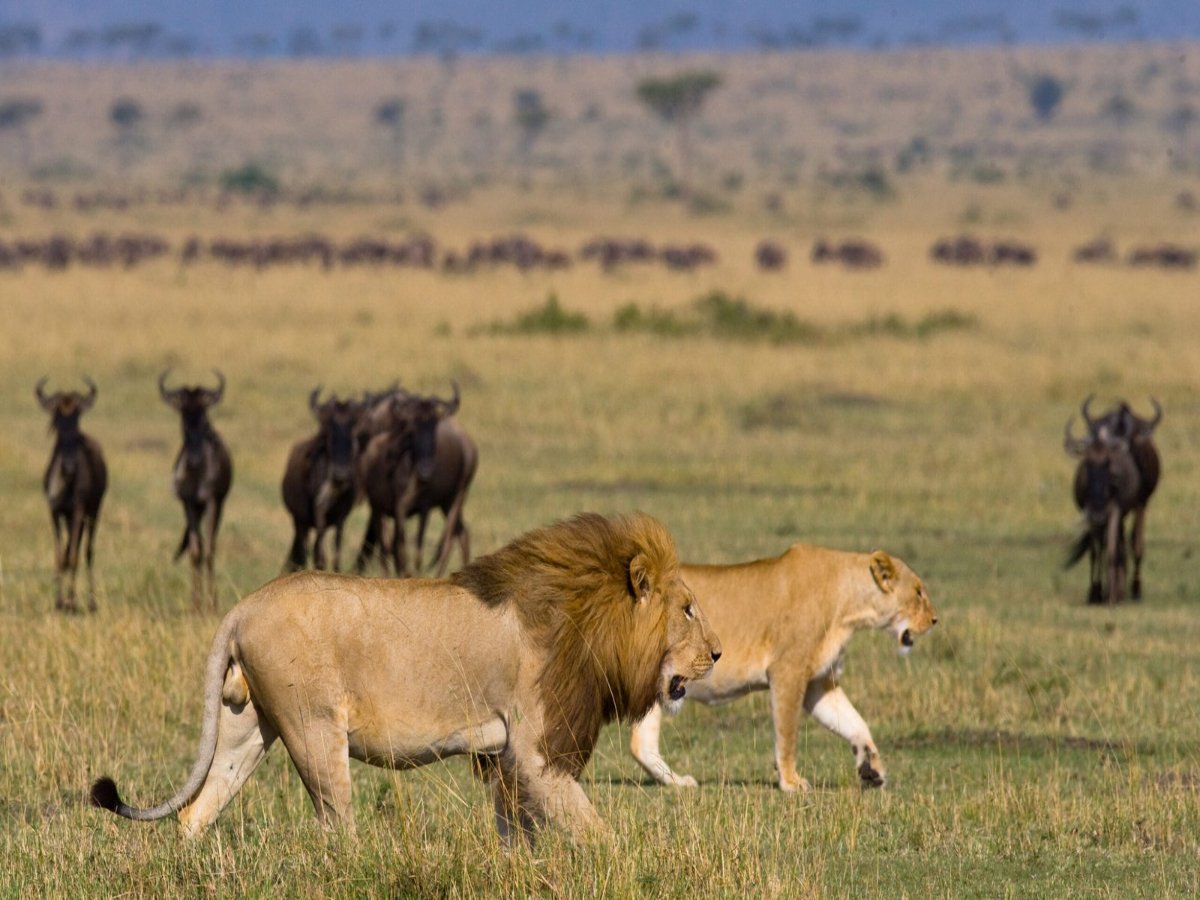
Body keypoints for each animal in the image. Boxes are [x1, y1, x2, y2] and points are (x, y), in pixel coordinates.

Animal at [90, 512, 721, 844]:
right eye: (689, 608)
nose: (716, 653)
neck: (588, 619)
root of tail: (242, 607)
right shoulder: (535, 750)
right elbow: (595, 831)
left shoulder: (505, 758)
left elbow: (516, 834)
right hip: (314, 729)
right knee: (335, 828)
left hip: (247, 725)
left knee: (196, 811)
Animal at [630, 544, 936, 793]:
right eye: (918, 592)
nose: (935, 620)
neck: (849, 607)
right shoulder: (788, 671)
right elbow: (787, 733)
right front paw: (791, 782)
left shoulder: (818, 683)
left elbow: (855, 722)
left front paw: (871, 770)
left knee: (641, 745)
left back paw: (677, 782)